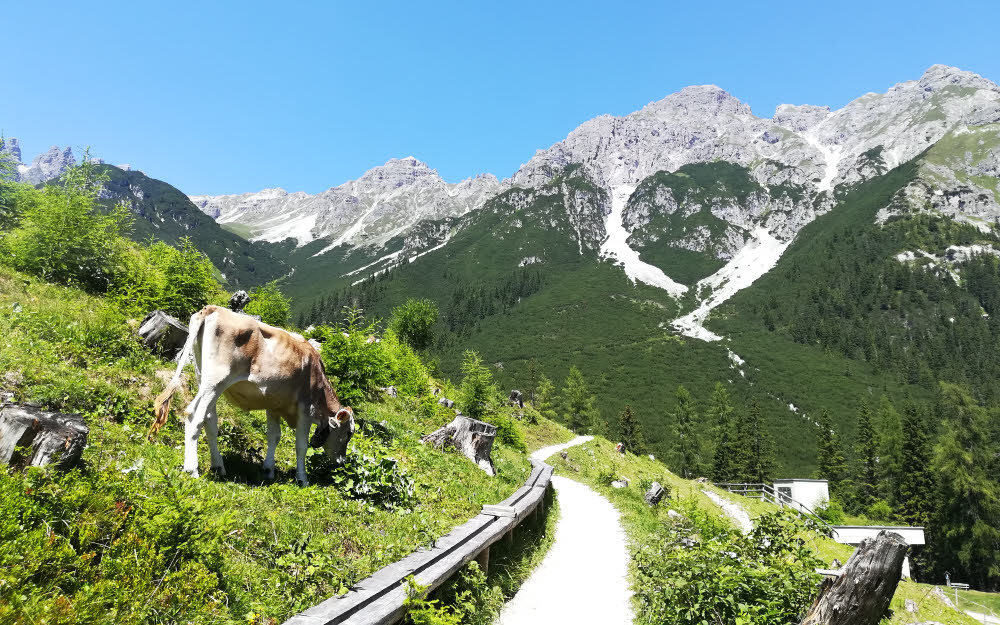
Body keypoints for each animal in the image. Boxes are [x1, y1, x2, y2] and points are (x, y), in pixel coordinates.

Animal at [146, 304, 354, 486]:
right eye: (349, 433)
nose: (342, 461)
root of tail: (212, 308)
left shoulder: (274, 404)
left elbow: (274, 436)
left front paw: (268, 470)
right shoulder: (306, 408)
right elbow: (301, 445)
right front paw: (302, 479)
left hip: (203, 378)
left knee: (210, 420)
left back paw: (218, 466)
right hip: (216, 380)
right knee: (194, 416)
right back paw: (192, 469)